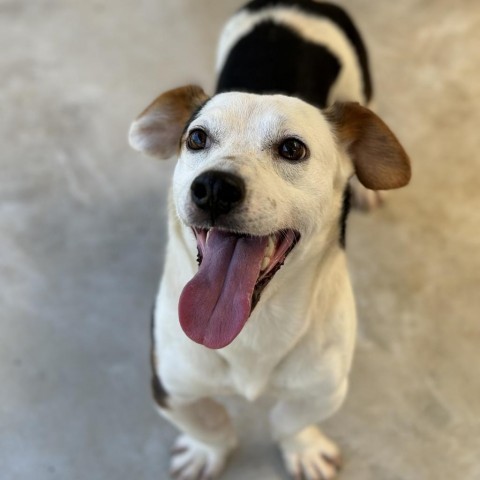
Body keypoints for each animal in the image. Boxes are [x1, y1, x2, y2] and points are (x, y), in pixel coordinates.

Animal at [129, 0, 410, 480]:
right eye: (196, 138)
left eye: (293, 149)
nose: (213, 187)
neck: (253, 325)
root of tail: (297, 4)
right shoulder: (170, 384)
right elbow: (209, 421)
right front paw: (206, 451)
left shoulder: (323, 387)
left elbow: (289, 420)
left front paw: (303, 448)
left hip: (360, 82)